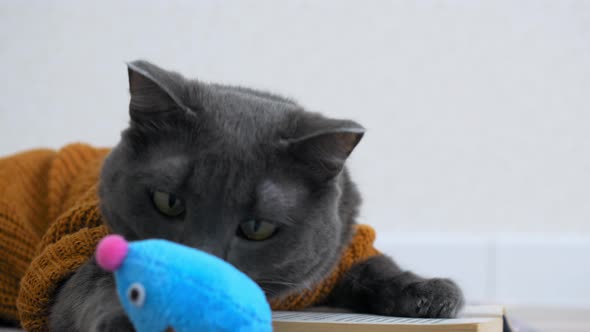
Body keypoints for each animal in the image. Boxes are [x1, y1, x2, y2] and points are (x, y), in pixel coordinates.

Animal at [48, 61, 464, 330]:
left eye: (257, 227)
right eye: (168, 201)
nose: (202, 267)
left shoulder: (343, 247)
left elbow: (375, 265)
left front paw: (428, 290)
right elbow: (96, 286)